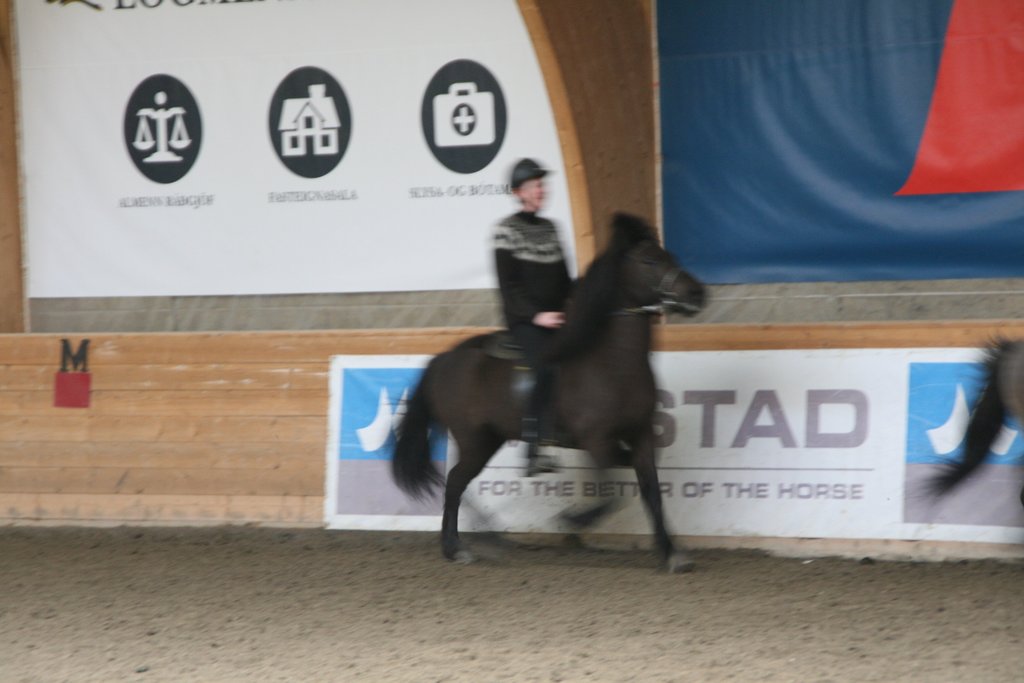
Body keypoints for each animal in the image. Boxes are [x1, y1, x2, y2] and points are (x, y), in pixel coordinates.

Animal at [391, 212, 707, 572]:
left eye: (671, 256)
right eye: (650, 260)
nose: (697, 294)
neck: (613, 362)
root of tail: (443, 359)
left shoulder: (640, 435)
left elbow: (650, 490)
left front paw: (671, 552)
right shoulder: (597, 441)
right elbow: (612, 492)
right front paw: (573, 522)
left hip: (488, 439)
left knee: (457, 484)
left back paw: (482, 537)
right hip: (473, 439)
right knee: (455, 484)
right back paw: (459, 545)